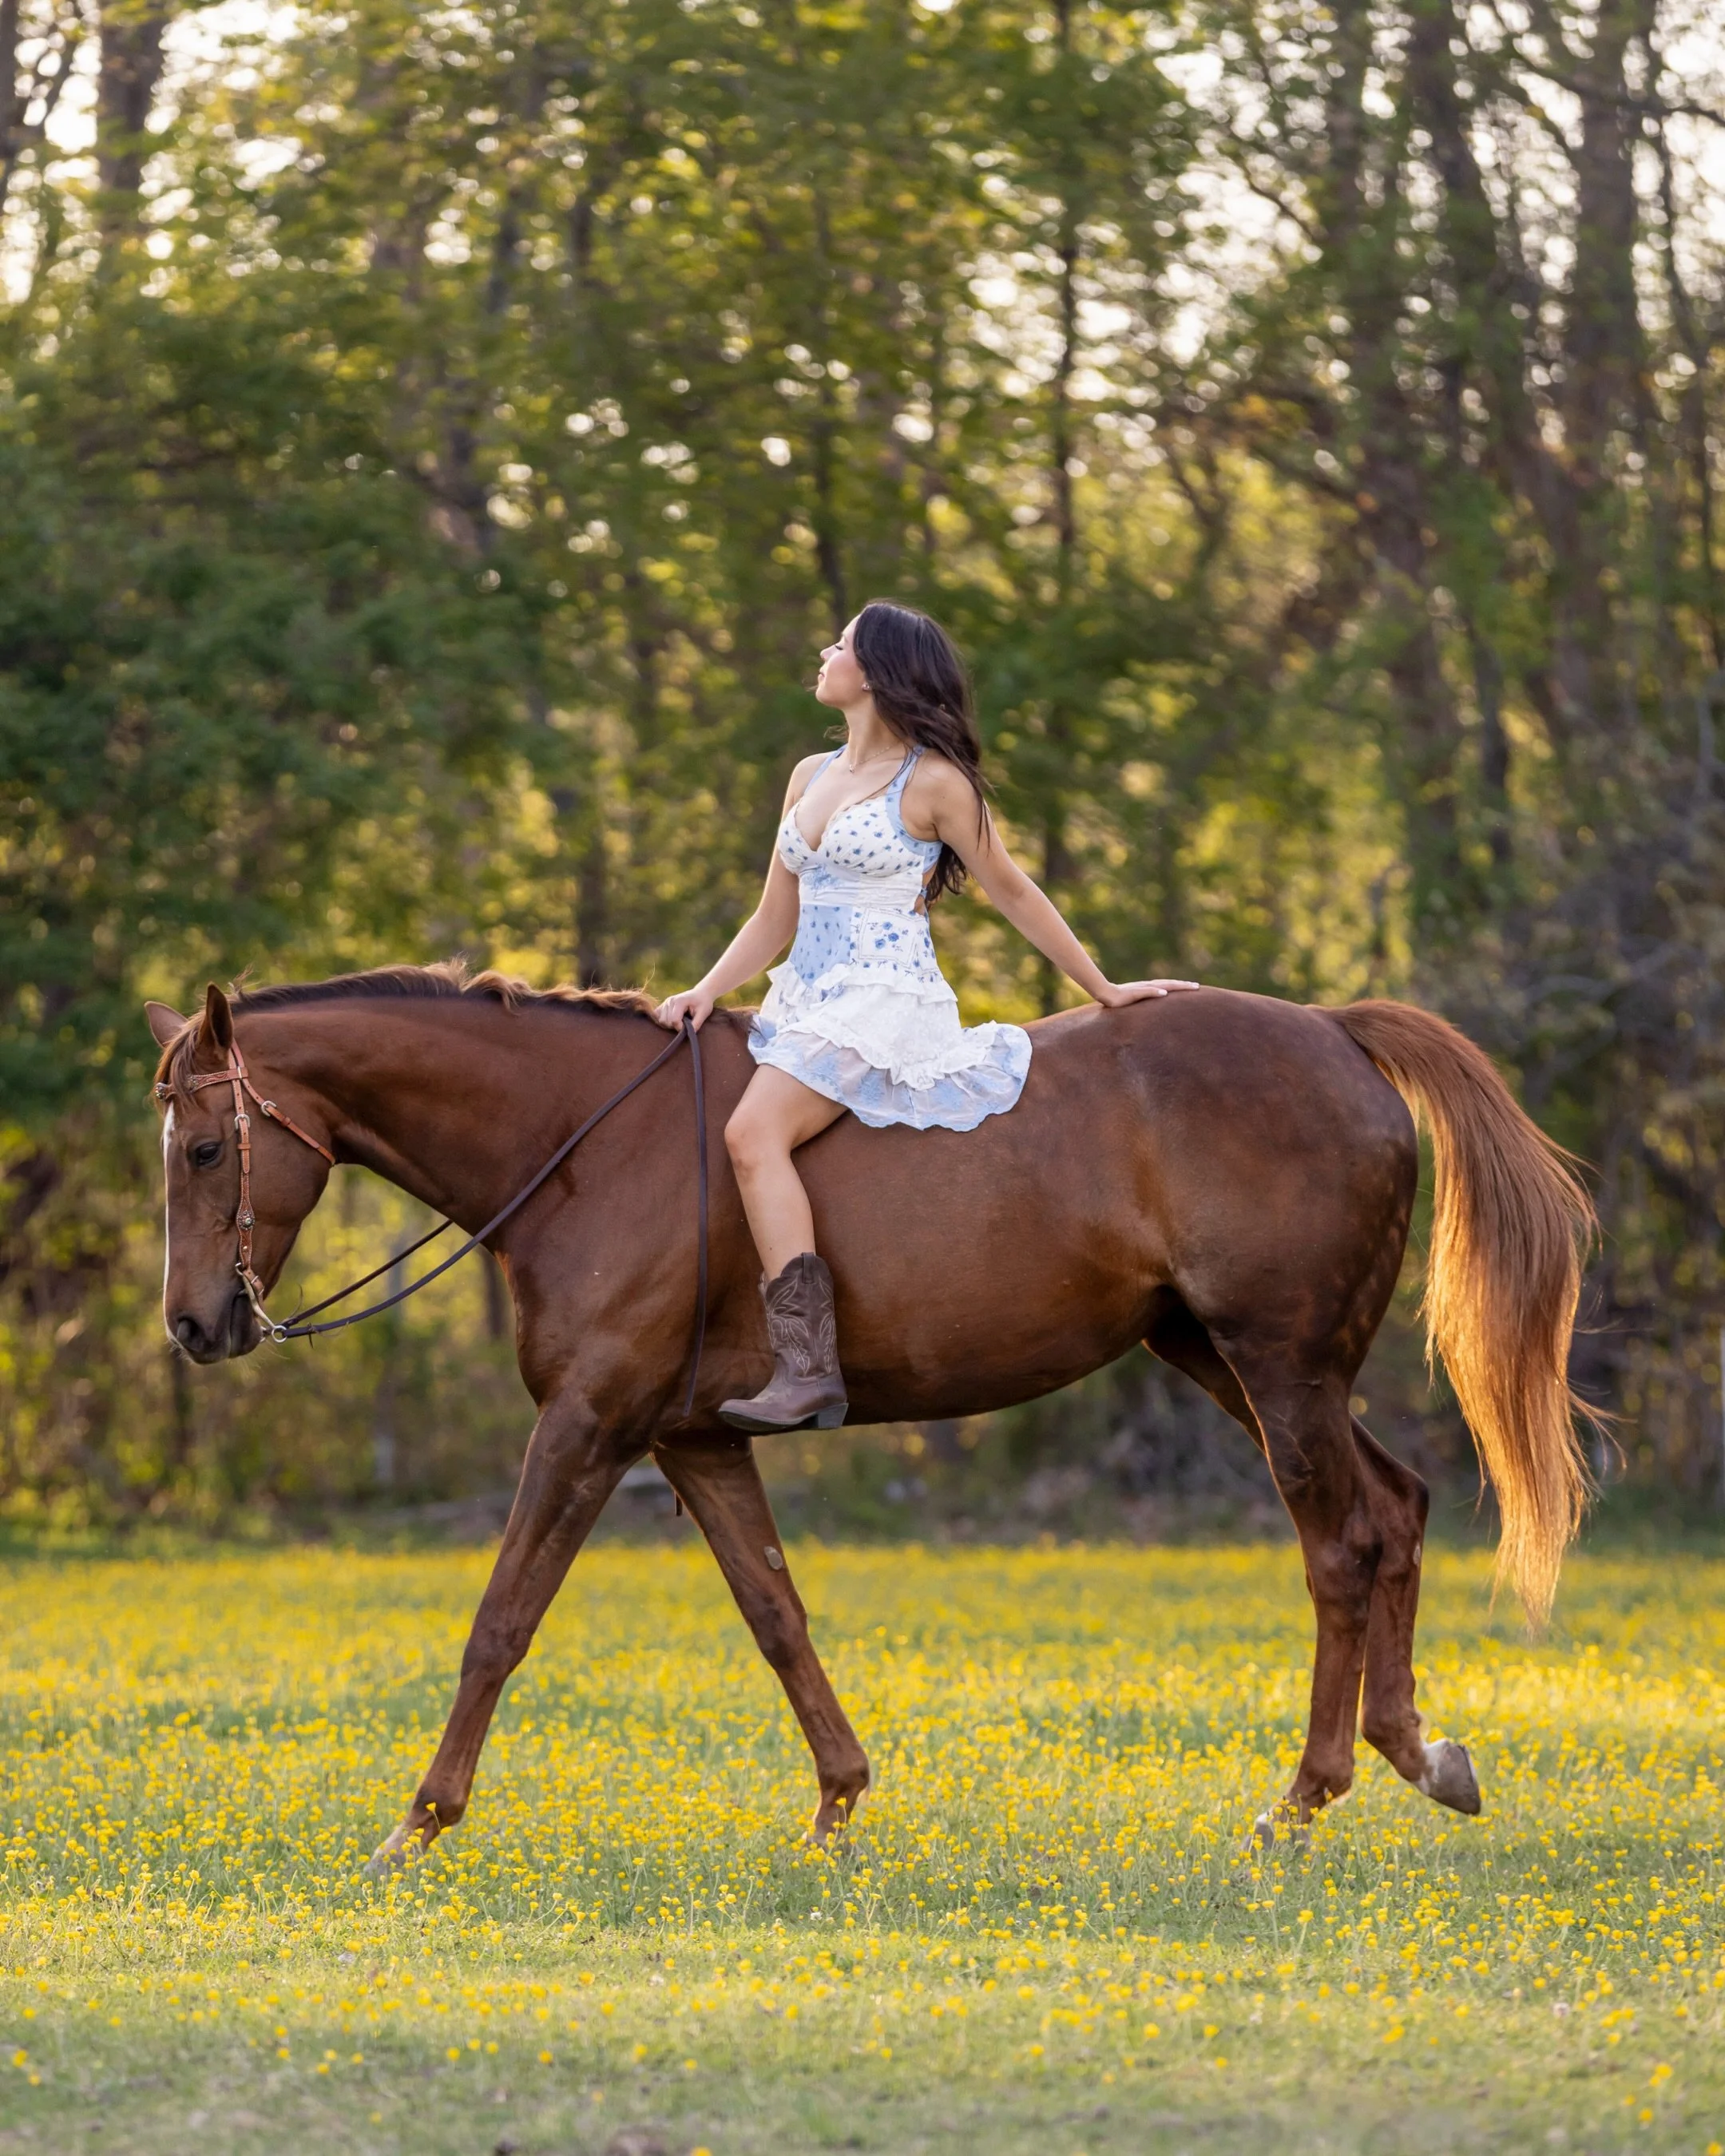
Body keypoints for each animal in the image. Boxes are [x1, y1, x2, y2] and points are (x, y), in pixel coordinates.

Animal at [146, 965, 1594, 1862]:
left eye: (207, 1149)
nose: (195, 1327)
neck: (584, 1149)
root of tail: (1334, 1032)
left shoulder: (590, 1425)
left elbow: (500, 1624)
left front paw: (419, 1824)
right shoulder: (692, 1439)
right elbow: (777, 1617)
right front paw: (838, 1805)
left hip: (1278, 1367)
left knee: (1341, 1547)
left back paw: (1303, 1801)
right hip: (1228, 1359)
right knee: (1395, 1513)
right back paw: (1419, 1755)